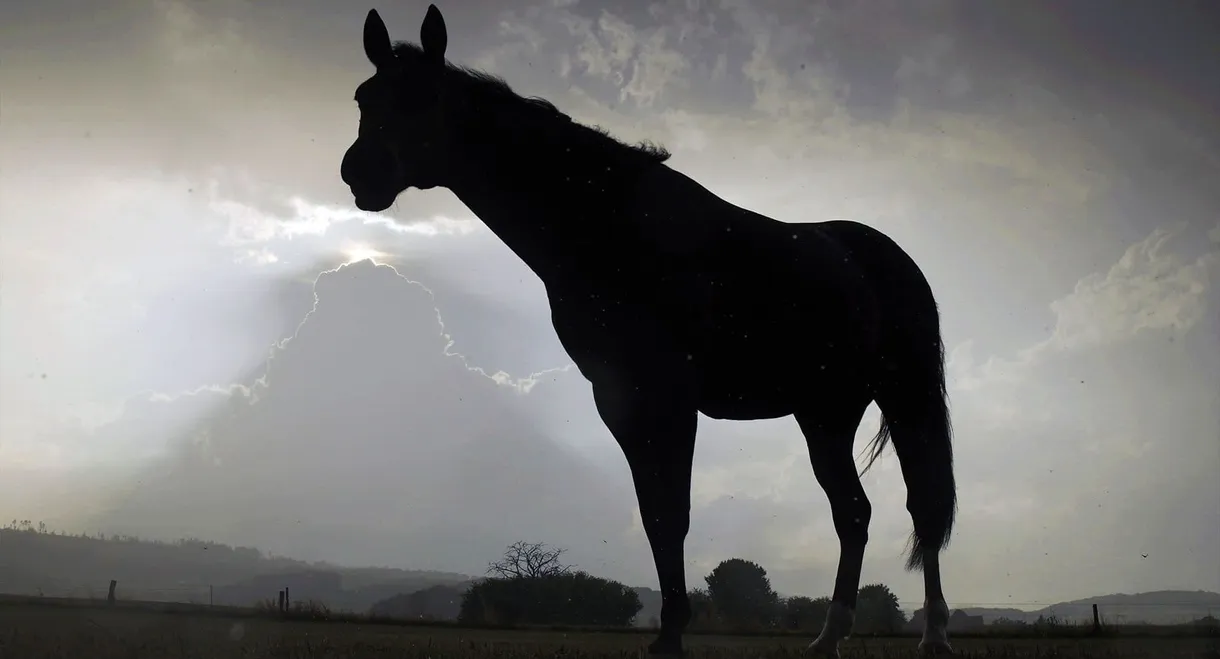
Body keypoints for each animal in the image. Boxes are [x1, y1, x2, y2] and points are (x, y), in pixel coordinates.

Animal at [339, 3, 956, 654]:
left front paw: (674, 631)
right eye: (364, 97)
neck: (611, 228)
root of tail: (887, 257)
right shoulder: (620, 399)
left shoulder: (669, 396)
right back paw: (829, 636)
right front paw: (668, 633)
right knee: (853, 513)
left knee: (920, 508)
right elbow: (656, 515)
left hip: (899, 399)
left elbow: (674, 511)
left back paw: (934, 634)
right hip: (824, 412)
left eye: (425, 98)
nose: (360, 173)